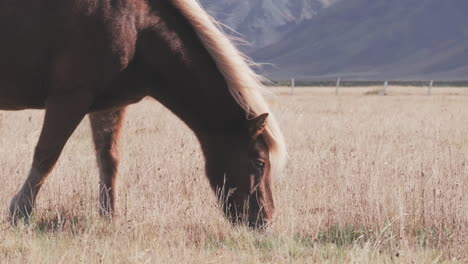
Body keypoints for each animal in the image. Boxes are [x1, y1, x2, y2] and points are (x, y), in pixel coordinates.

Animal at [0, 0, 288, 229]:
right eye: (260, 163)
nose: (265, 222)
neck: (139, 27)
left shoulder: (108, 106)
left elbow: (109, 160)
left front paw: (109, 217)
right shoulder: (70, 97)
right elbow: (47, 155)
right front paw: (20, 212)